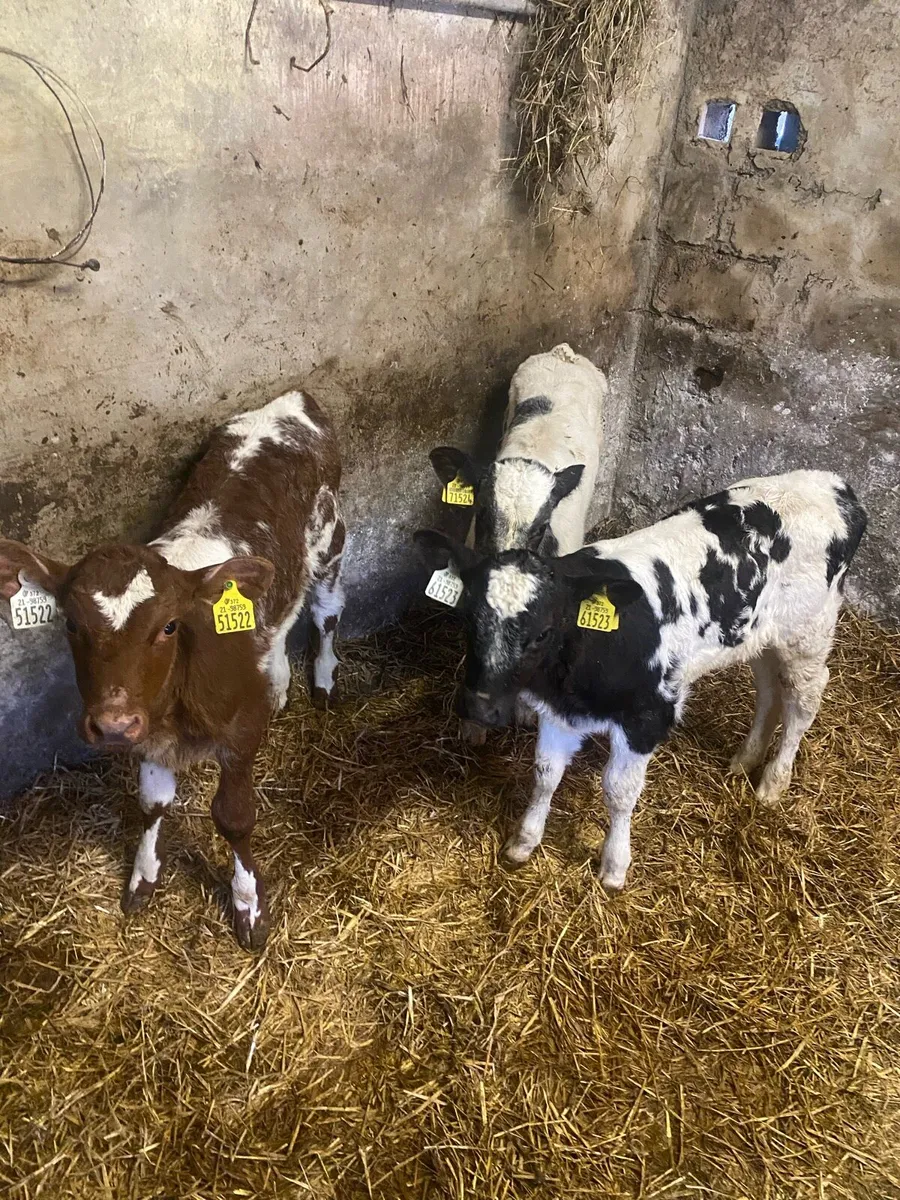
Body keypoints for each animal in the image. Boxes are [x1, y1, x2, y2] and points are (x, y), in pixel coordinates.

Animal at [0, 391, 345, 951]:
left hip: (333, 540)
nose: (111, 724)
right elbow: (152, 804)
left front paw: (249, 905)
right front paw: (143, 877)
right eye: (70, 621)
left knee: (325, 610)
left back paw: (324, 680)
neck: (177, 706)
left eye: (169, 627)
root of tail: (292, 399)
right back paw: (277, 681)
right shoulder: (146, 731)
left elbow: (234, 817)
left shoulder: (240, 734)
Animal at [415, 470, 867, 889]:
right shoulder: (561, 712)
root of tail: (835, 485)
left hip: (808, 633)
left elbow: (618, 792)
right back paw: (744, 759)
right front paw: (524, 841)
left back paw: (773, 782)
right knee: (769, 691)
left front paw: (614, 867)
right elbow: (545, 774)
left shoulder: (648, 716)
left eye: (543, 632)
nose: (480, 706)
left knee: (804, 701)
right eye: (466, 616)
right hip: (758, 636)